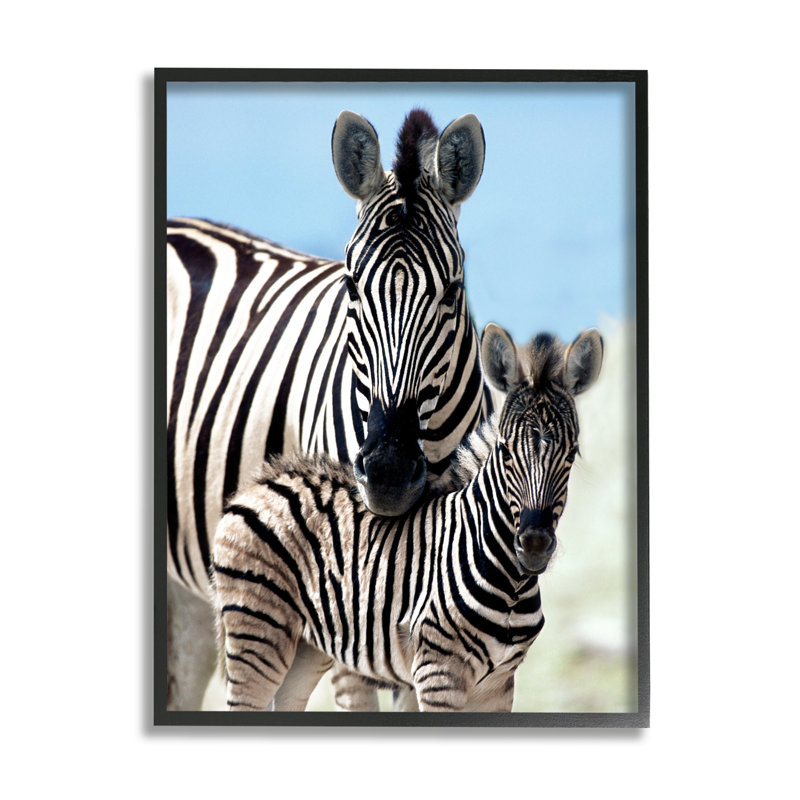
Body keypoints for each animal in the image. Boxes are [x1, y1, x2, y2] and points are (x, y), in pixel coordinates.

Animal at [211, 323, 603, 712]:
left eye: (572, 454)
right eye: (505, 451)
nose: (534, 543)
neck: (510, 582)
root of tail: (258, 483)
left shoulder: (499, 684)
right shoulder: (438, 672)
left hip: (306, 648)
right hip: (257, 631)